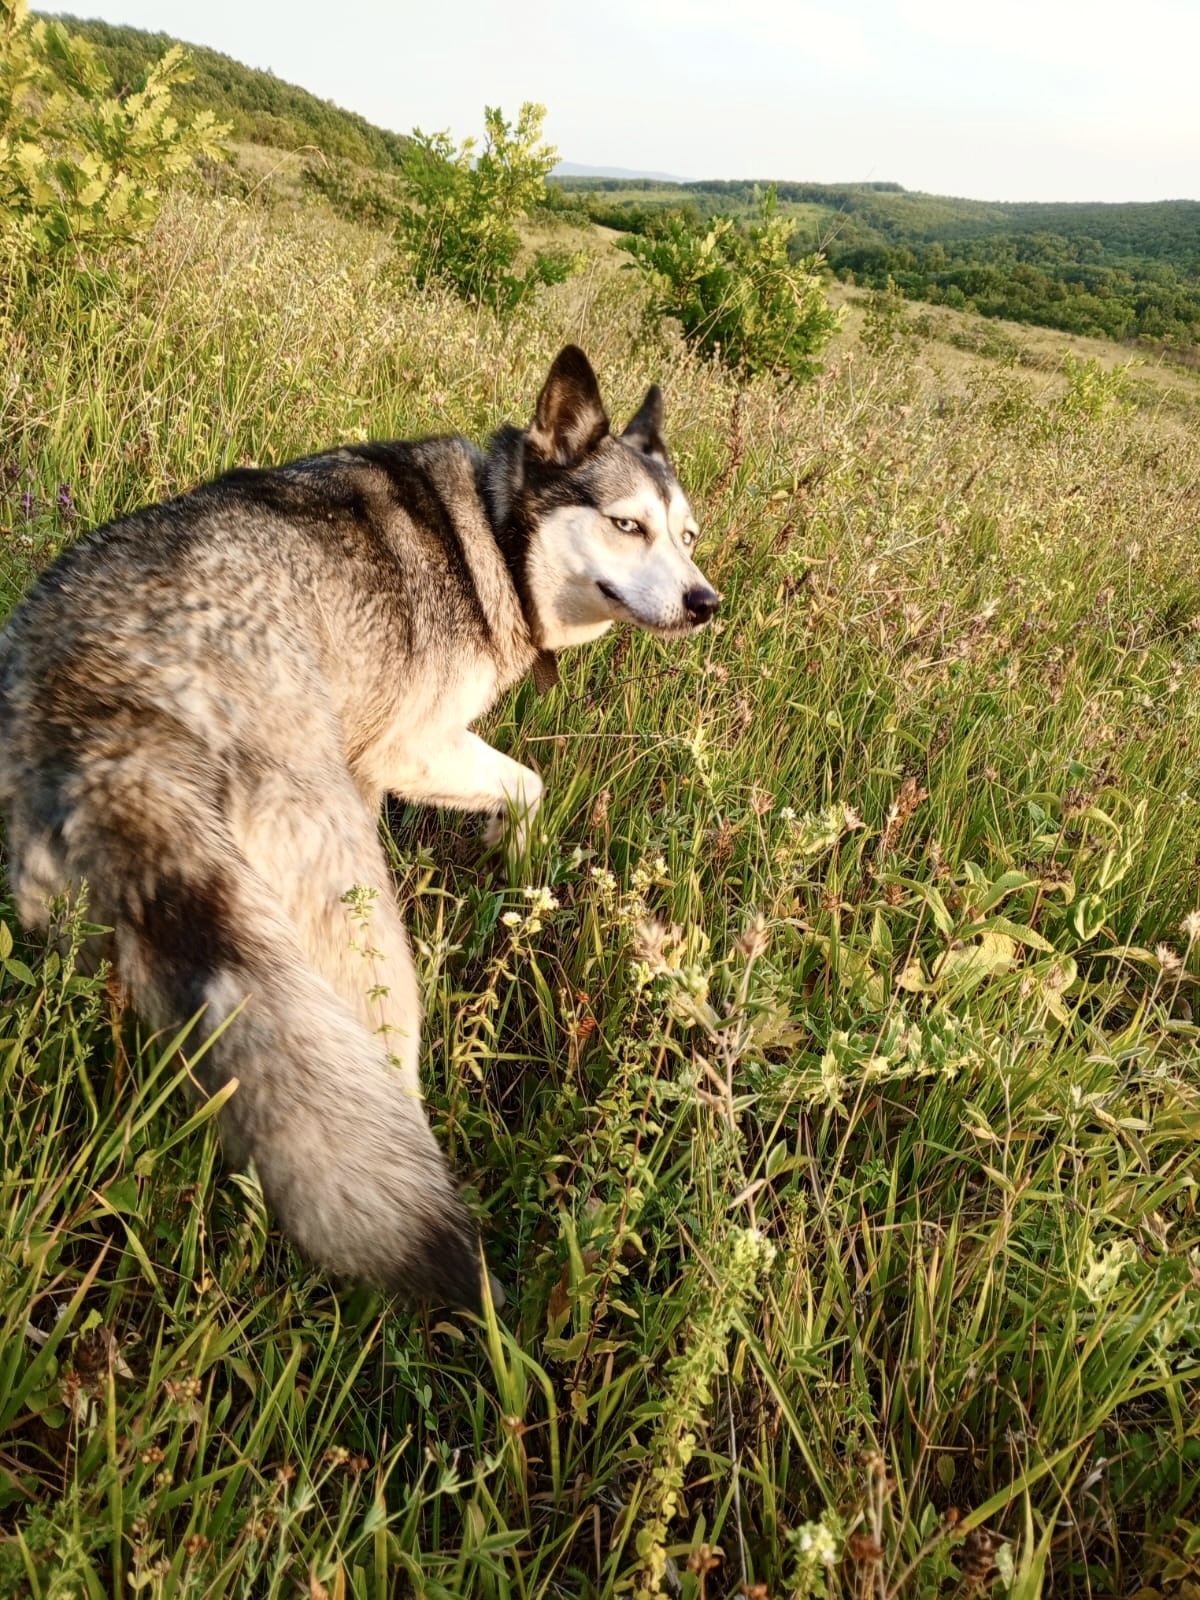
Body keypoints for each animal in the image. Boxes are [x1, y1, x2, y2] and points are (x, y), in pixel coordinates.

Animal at [0, 344, 720, 1305]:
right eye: (626, 526)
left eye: (687, 538)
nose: (706, 602)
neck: (495, 533)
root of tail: (114, 705)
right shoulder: (410, 748)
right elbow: (527, 785)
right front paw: (515, 859)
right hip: (355, 929)